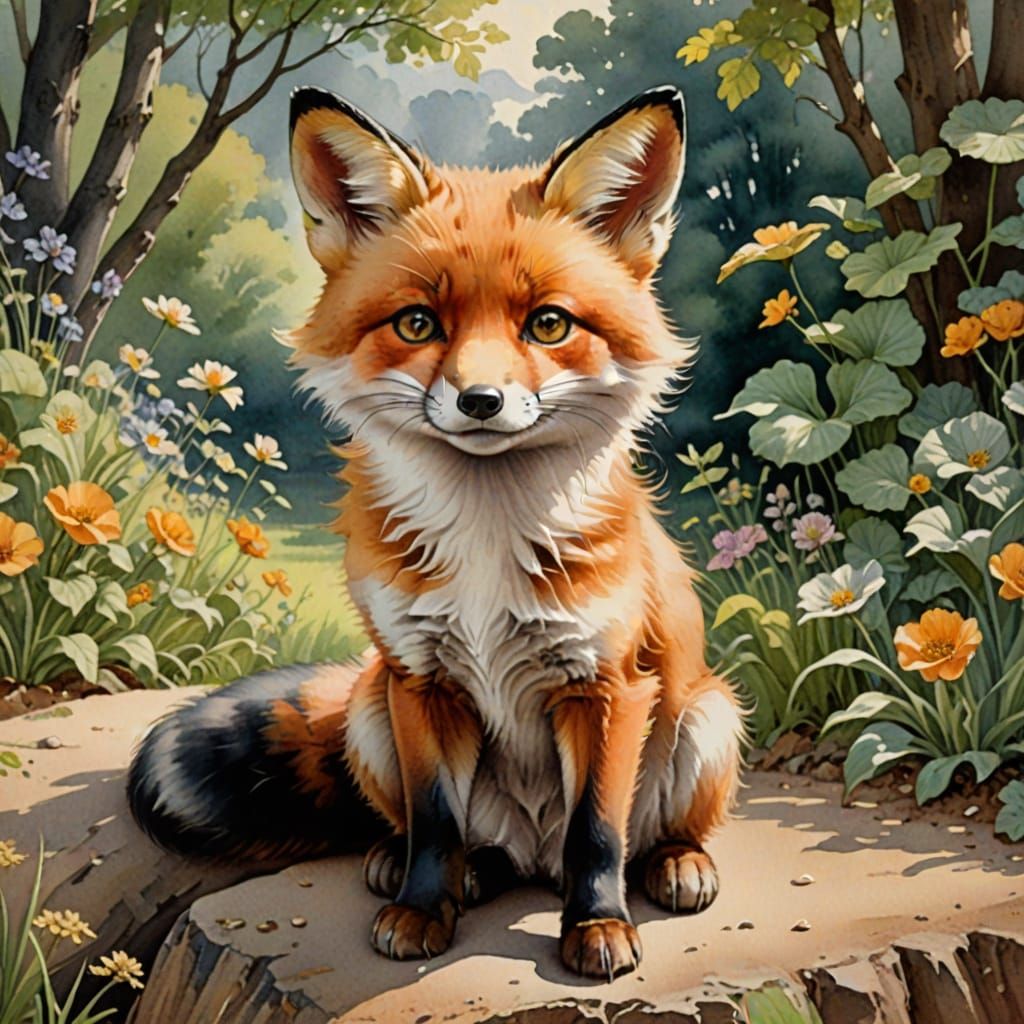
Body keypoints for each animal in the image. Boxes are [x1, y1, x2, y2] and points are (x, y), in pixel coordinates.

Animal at [127, 85, 743, 981]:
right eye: (419, 325)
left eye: (548, 325)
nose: (480, 401)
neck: (488, 545)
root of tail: (532, 858)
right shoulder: (419, 680)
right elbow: (435, 821)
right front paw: (424, 907)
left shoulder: (607, 685)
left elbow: (598, 832)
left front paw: (596, 926)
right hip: (370, 711)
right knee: (449, 837)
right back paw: (443, 869)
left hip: (707, 719)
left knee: (638, 835)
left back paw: (675, 863)